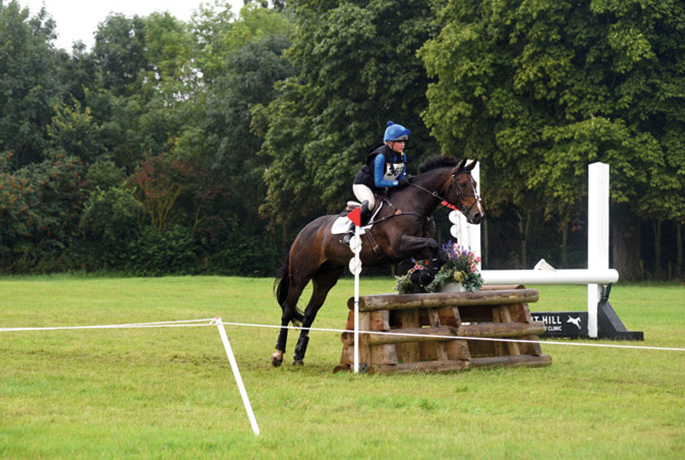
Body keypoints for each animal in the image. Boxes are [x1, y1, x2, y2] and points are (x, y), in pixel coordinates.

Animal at [270, 157, 484, 366]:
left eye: (475, 183)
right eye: (463, 184)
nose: (478, 215)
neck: (414, 204)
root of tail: (304, 231)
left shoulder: (417, 248)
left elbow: (440, 254)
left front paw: (421, 276)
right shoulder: (399, 246)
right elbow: (433, 246)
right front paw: (420, 276)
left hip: (327, 276)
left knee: (309, 312)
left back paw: (298, 356)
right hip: (301, 275)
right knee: (288, 309)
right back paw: (278, 355)